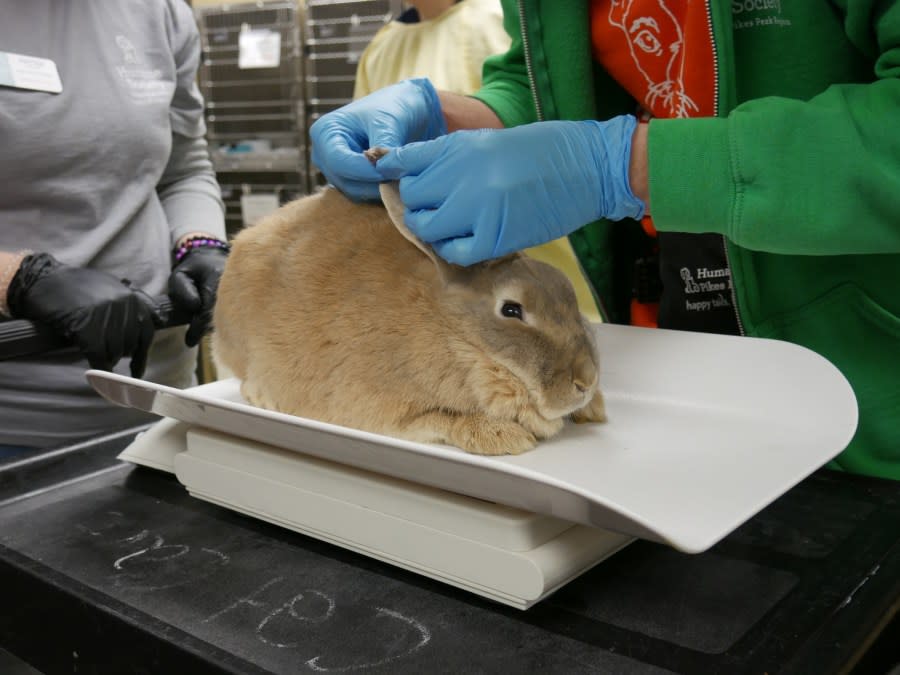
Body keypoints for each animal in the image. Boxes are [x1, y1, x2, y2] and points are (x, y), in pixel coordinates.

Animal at [211, 180, 604, 456]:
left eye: (566, 287)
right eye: (511, 309)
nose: (586, 381)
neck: (459, 338)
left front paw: (594, 410)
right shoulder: (388, 409)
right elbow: (442, 418)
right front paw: (503, 437)